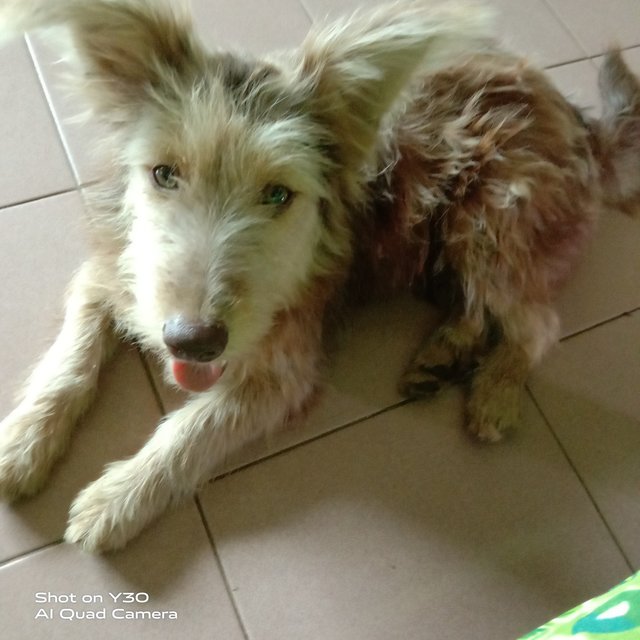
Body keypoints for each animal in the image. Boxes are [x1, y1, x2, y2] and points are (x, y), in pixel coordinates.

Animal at [0, 0, 636, 552]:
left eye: (278, 194)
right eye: (164, 174)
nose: (192, 340)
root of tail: (578, 117)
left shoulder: (282, 372)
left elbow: (193, 431)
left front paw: (118, 498)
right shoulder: (110, 270)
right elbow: (69, 360)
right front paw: (23, 440)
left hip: (488, 220)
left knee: (537, 321)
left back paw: (496, 390)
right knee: (479, 307)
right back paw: (443, 352)